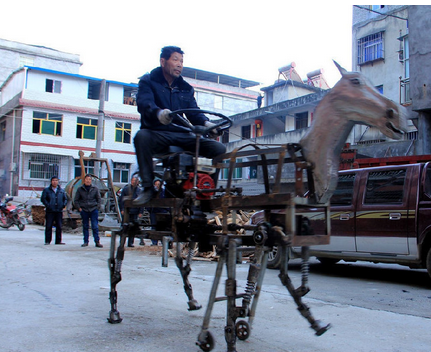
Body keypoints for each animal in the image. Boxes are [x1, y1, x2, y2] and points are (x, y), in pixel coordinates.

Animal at [106, 61, 406, 352]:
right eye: (356, 81)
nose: (397, 114)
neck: (304, 162)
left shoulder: (271, 231)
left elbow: (276, 274)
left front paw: (304, 317)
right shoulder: (237, 236)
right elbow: (232, 283)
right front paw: (221, 334)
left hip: (183, 229)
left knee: (182, 260)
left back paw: (192, 300)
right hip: (130, 221)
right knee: (116, 256)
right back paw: (114, 309)